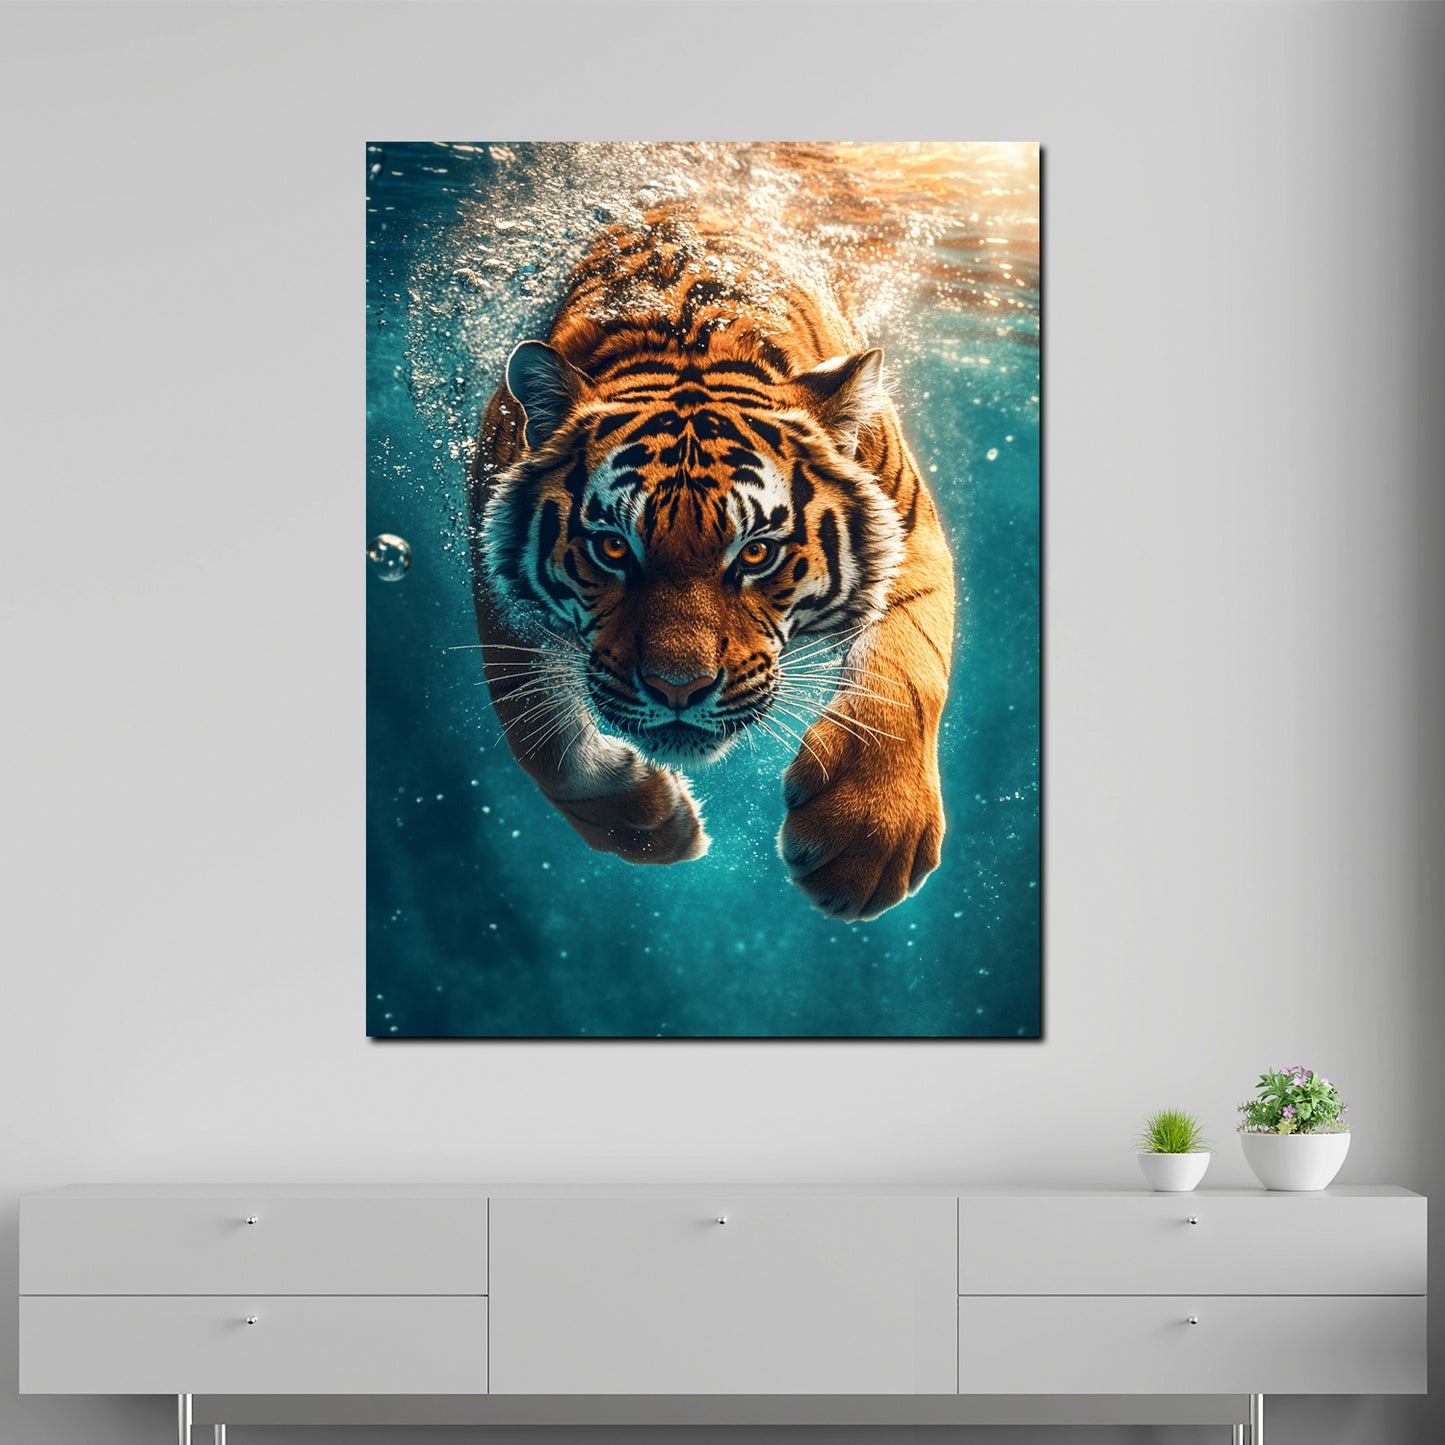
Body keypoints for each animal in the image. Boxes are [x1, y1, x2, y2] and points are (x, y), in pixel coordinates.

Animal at [467, 203, 955, 922]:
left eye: (756, 551)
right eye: (613, 546)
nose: (678, 690)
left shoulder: (909, 532)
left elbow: (906, 670)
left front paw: (866, 834)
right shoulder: (495, 580)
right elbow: (537, 735)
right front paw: (654, 825)